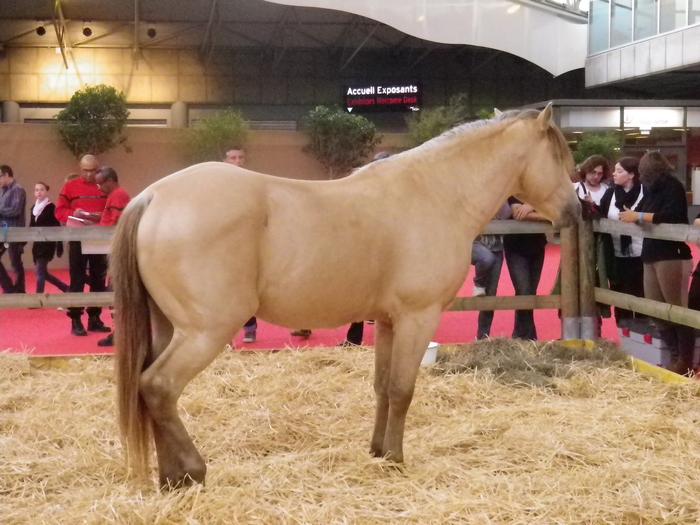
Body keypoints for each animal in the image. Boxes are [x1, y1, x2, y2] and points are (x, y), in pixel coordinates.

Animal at [112, 103, 576, 488]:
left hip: (167, 326)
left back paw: (172, 477)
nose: (576, 211)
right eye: (559, 156)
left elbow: (384, 387)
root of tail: (153, 197)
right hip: (205, 331)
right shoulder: (417, 318)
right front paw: (396, 459)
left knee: (149, 390)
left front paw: (378, 452)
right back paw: (193, 470)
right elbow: (403, 389)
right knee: (159, 386)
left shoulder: (389, 321)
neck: (434, 193)